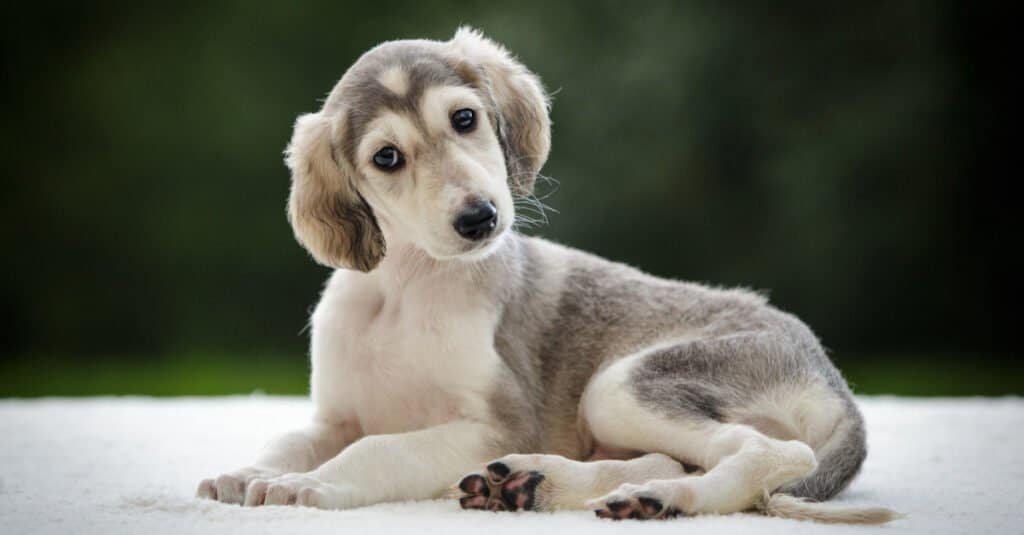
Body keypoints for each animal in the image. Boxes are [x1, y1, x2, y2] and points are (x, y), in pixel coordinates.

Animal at [193, 28, 897, 520]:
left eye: (465, 118)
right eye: (386, 157)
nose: (480, 218)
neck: (405, 292)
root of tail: (834, 380)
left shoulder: (497, 423)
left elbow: (378, 449)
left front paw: (305, 484)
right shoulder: (335, 418)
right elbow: (288, 438)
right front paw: (246, 474)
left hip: (618, 387)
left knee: (776, 455)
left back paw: (654, 498)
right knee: (683, 459)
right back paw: (547, 486)